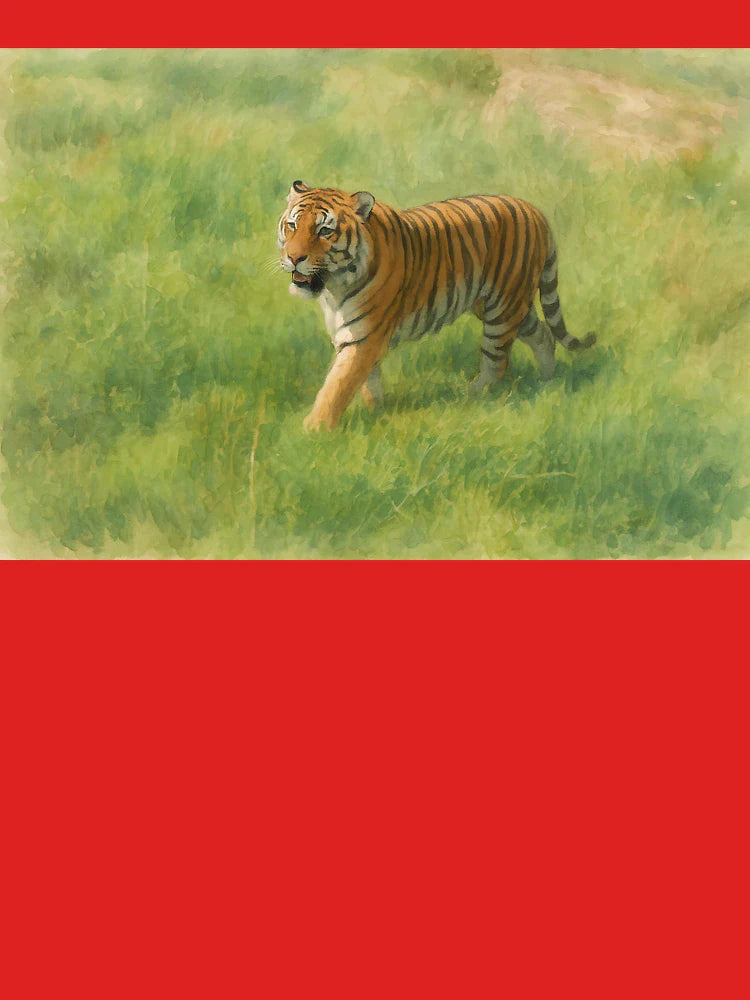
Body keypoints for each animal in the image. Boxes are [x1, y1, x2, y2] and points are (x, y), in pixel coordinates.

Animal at [277, 180, 596, 430]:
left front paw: (313, 430)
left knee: (497, 360)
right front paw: (375, 413)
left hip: (502, 309)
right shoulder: (353, 335)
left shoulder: (363, 337)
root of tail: (535, 211)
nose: (294, 258)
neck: (334, 288)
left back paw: (474, 395)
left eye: (324, 231)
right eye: (292, 225)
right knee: (543, 334)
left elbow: (337, 385)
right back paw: (548, 380)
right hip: (506, 305)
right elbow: (367, 382)